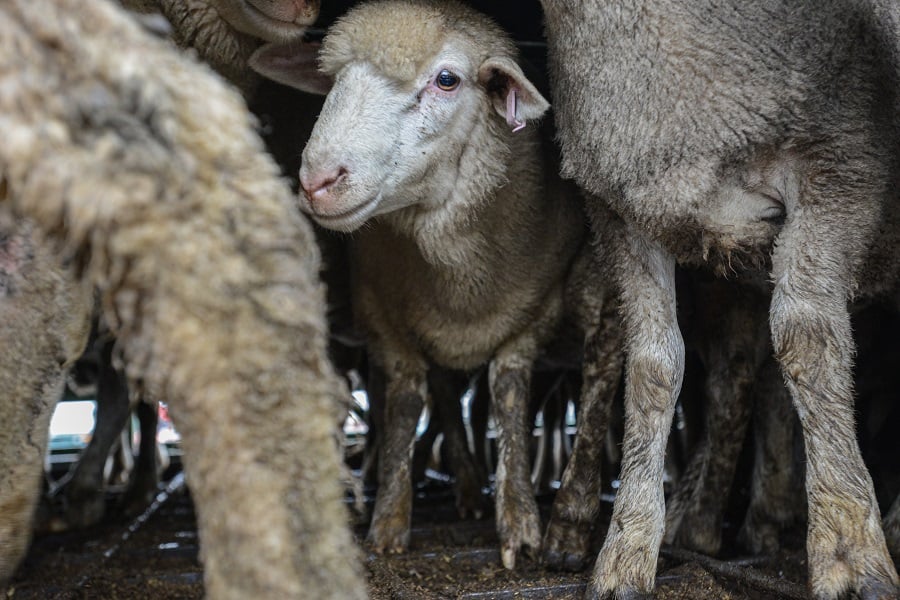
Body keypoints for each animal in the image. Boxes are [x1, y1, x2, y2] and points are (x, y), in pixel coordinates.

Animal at [248, 0, 624, 572]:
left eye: (447, 80)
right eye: (332, 79)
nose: (317, 181)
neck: (461, 280)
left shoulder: (531, 314)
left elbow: (508, 399)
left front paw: (521, 525)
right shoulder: (383, 314)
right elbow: (405, 404)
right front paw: (388, 522)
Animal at [536, 2, 900, 596]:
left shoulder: (842, 166)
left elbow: (806, 337)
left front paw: (849, 550)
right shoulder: (624, 209)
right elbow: (652, 367)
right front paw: (627, 550)